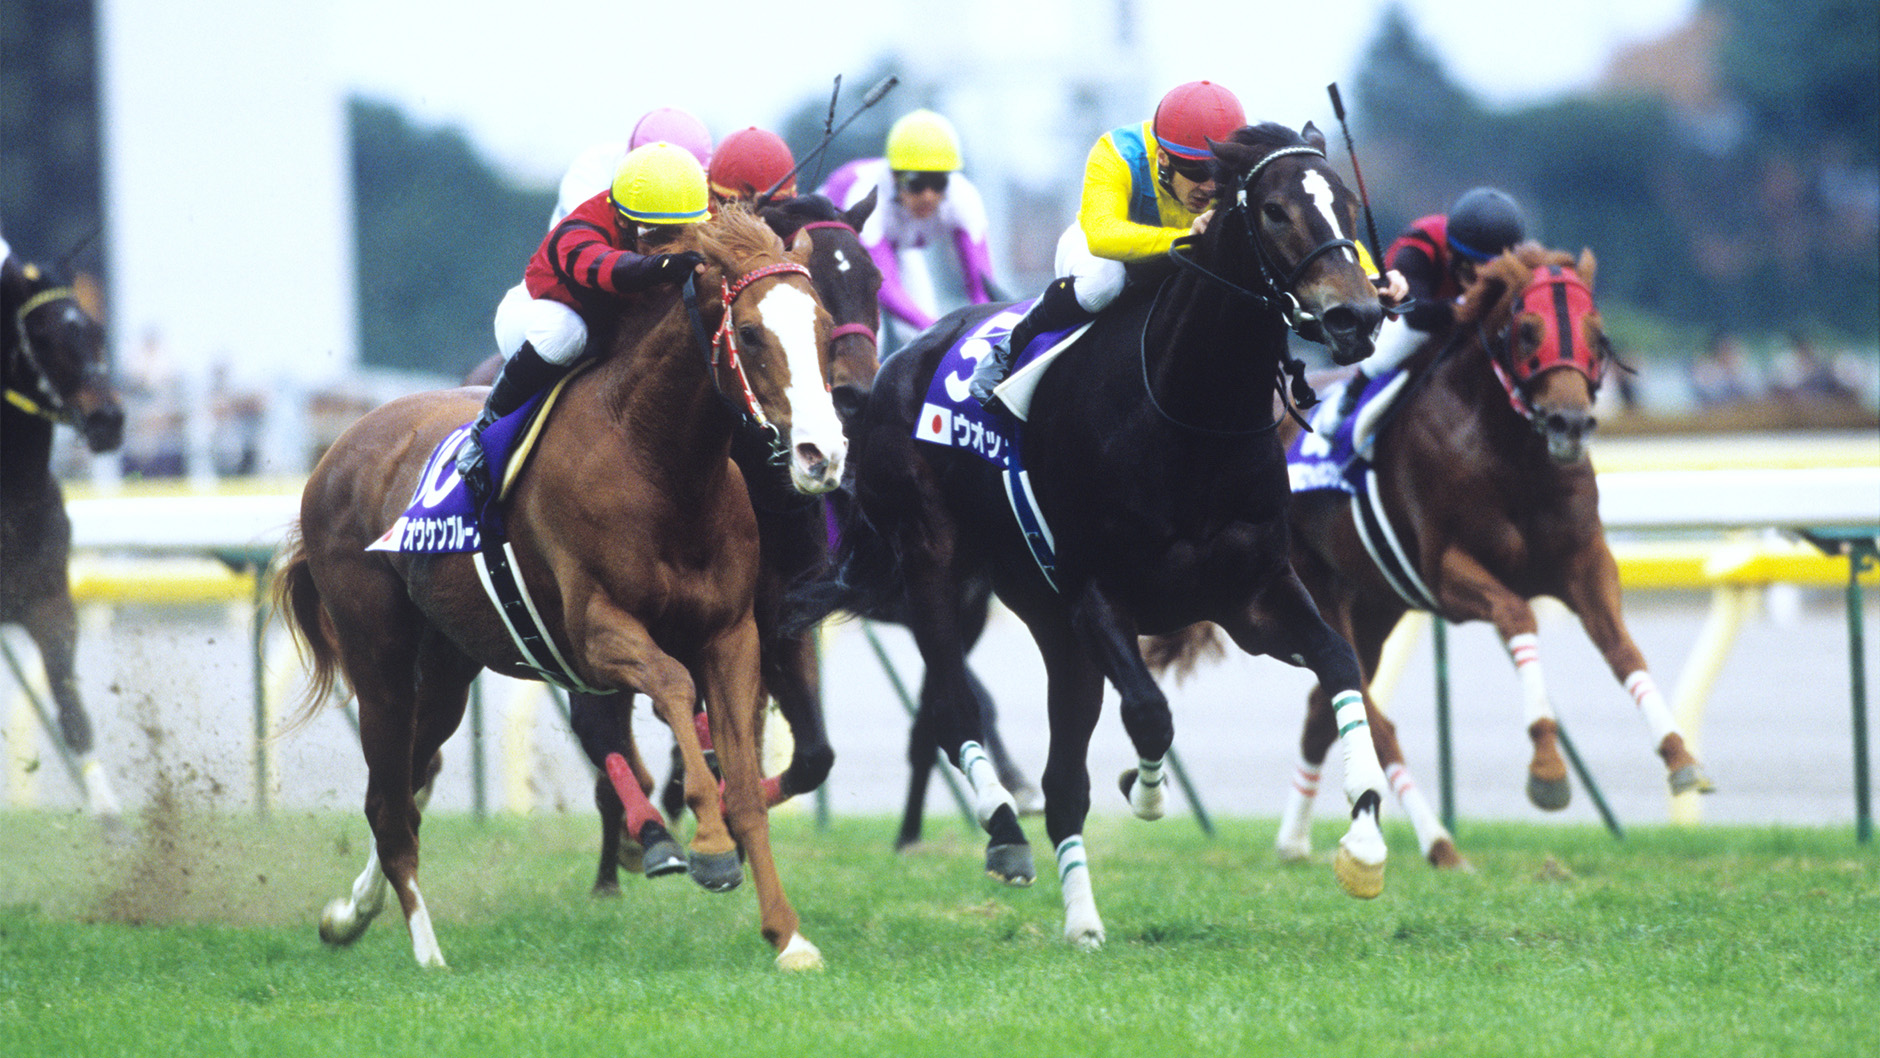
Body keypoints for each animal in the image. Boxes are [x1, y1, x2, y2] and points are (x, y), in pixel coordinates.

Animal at [272, 206, 844, 970]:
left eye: (822, 325)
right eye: (750, 333)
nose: (821, 456)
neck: (657, 463)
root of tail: (337, 449)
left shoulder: (732, 634)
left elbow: (747, 783)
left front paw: (788, 935)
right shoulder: (597, 633)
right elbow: (670, 685)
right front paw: (709, 848)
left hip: (446, 668)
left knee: (402, 785)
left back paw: (350, 914)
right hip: (380, 658)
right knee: (390, 802)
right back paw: (428, 951)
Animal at [793, 123, 1395, 949]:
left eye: (1346, 204)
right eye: (1274, 211)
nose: (1356, 316)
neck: (1188, 414)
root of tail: (893, 370)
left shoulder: (1253, 596)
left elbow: (1338, 663)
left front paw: (1364, 832)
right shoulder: (1094, 595)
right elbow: (1148, 713)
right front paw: (1145, 791)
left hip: (1047, 625)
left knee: (1059, 780)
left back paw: (1081, 920)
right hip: (937, 572)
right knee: (954, 711)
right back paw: (1005, 831)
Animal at [1154, 243, 1714, 869]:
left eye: (1597, 334)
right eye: (1526, 330)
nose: (1570, 424)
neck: (1511, 452)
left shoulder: (1585, 562)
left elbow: (1622, 648)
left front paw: (1680, 757)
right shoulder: (1447, 573)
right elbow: (1518, 616)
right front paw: (1547, 769)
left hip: (1375, 605)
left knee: (1323, 705)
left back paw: (1296, 842)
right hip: (1314, 591)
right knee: (1373, 718)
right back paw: (1437, 843)